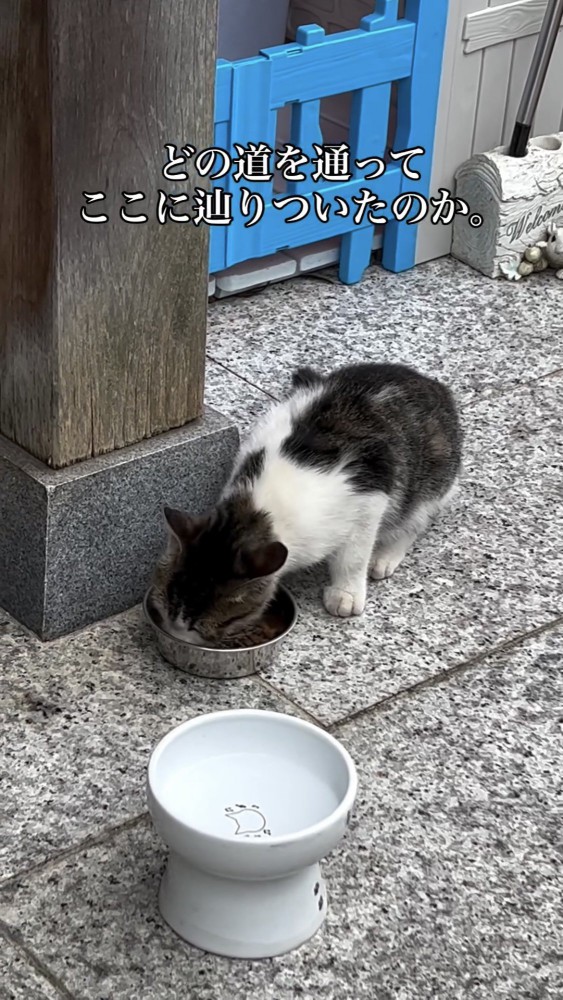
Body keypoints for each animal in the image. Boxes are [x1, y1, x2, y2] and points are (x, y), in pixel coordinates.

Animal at [151, 364, 462, 644]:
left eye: (200, 626)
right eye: (166, 607)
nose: (176, 636)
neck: (261, 509)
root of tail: (430, 383)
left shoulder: (370, 492)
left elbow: (353, 556)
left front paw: (346, 593)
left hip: (433, 479)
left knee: (415, 519)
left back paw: (384, 557)